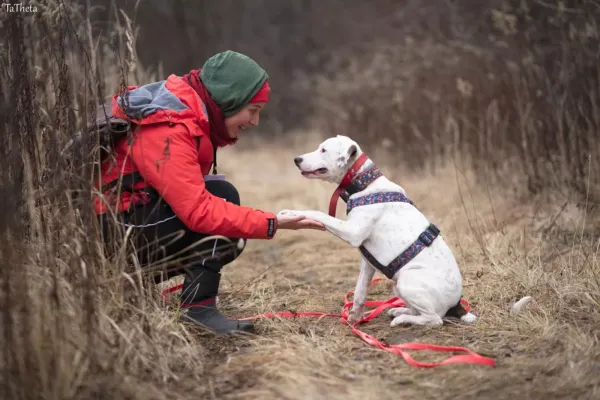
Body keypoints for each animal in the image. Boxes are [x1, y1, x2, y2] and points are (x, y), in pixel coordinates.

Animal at [278, 136, 476, 326]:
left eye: (323, 150)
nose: (297, 159)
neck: (365, 184)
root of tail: (457, 305)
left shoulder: (353, 233)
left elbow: (318, 213)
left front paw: (290, 213)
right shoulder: (368, 263)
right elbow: (359, 291)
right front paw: (355, 318)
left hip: (407, 280)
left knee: (434, 319)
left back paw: (402, 319)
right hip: (398, 286)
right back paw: (400, 311)